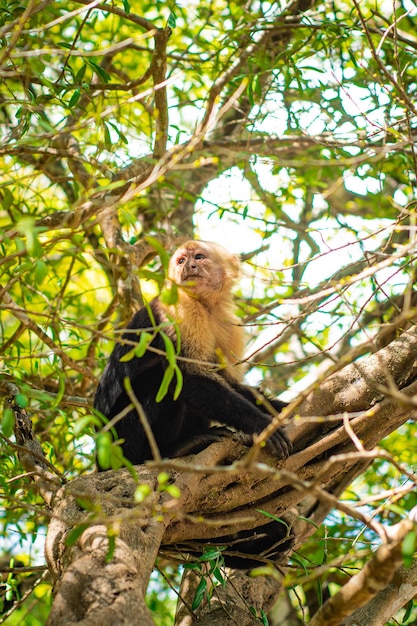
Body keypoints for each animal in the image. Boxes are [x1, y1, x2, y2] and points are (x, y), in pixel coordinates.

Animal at [93, 239, 292, 564]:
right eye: (181, 260)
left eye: (199, 256)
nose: (189, 266)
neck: (206, 306)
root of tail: (100, 463)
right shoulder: (179, 309)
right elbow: (187, 377)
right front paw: (261, 424)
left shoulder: (226, 322)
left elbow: (227, 380)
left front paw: (279, 408)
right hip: (122, 443)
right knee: (162, 377)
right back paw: (171, 452)